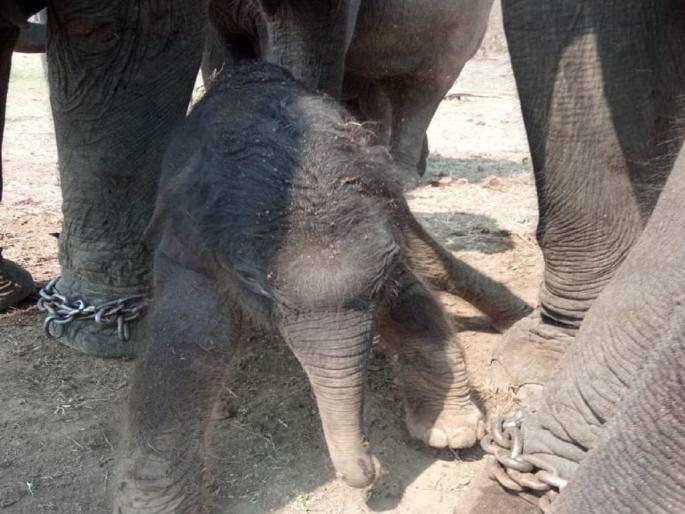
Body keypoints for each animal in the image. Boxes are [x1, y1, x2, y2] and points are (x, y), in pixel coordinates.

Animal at [113, 62, 535, 512]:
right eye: (252, 281)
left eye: (383, 270)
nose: (371, 469)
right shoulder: (189, 238)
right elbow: (189, 343)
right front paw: (152, 504)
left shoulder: (386, 226)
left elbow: (409, 297)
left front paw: (450, 431)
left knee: (432, 263)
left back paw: (518, 317)